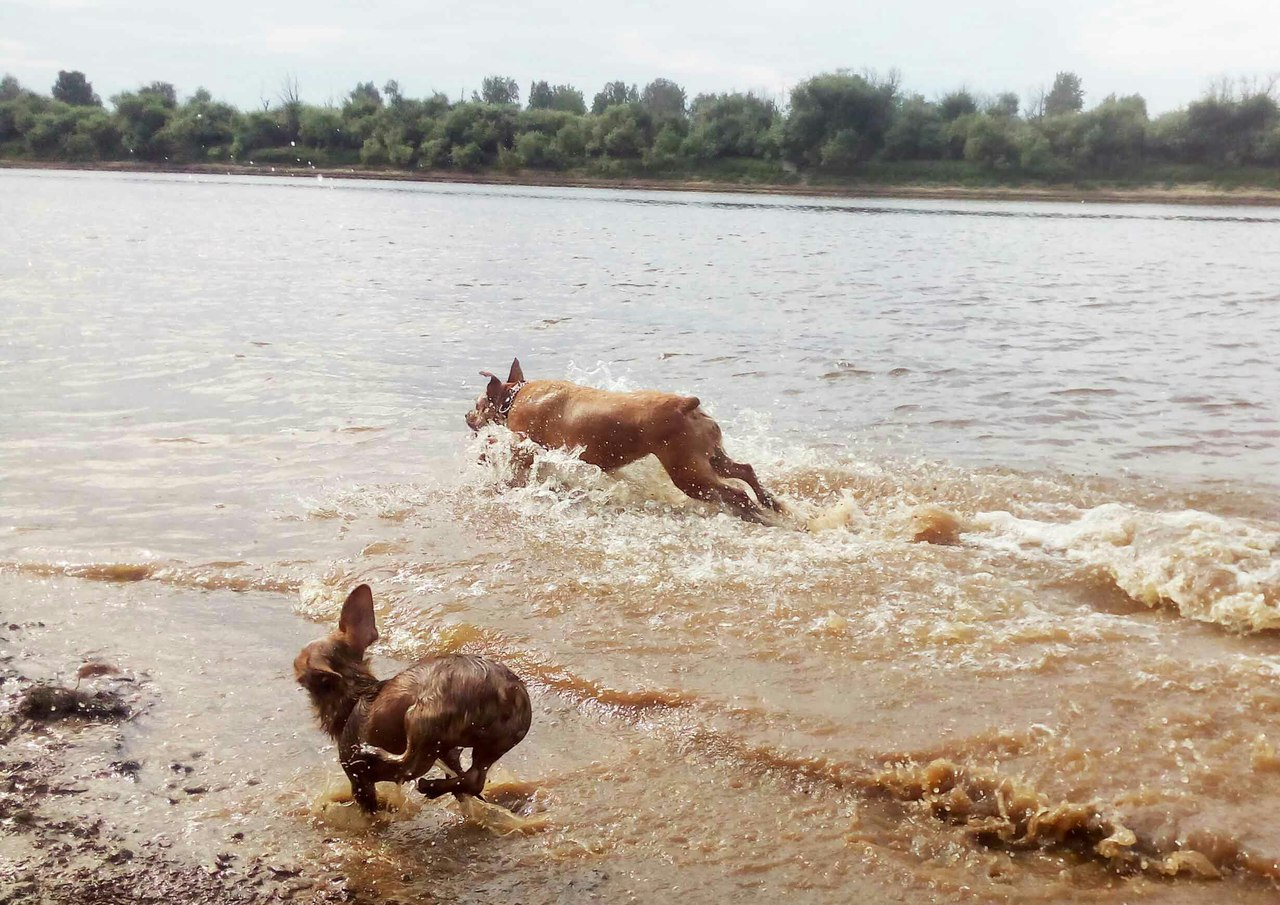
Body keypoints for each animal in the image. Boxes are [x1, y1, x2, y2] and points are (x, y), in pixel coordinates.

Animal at [463, 355, 778, 519]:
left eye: (478, 405)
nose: (466, 416)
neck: (513, 397)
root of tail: (685, 404)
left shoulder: (524, 443)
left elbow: (499, 446)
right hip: (710, 459)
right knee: (745, 471)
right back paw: (771, 503)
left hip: (689, 474)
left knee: (737, 493)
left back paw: (756, 514)